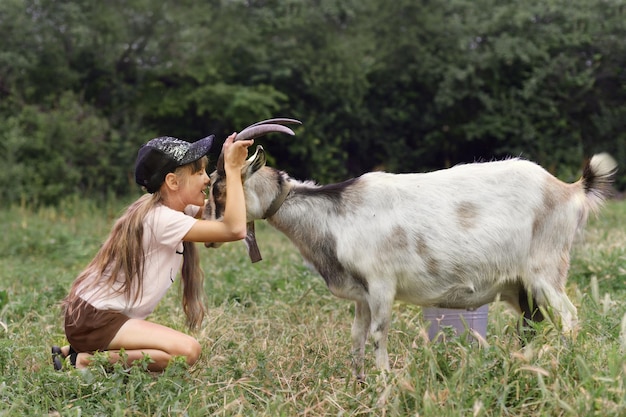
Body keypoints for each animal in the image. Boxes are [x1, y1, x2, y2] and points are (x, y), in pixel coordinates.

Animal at [201, 118, 616, 378]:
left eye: (220, 187)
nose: (209, 236)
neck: (337, 215)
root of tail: (569, 189)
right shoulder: (362, 294)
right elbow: (356, 337)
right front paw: (358, 383)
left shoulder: (382, 284)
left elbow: (378, 334)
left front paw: (385, 383)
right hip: (520, 286)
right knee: (533, 324)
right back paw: (523, 363)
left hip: (546, 269)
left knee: (569, 317)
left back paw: (563, 365)